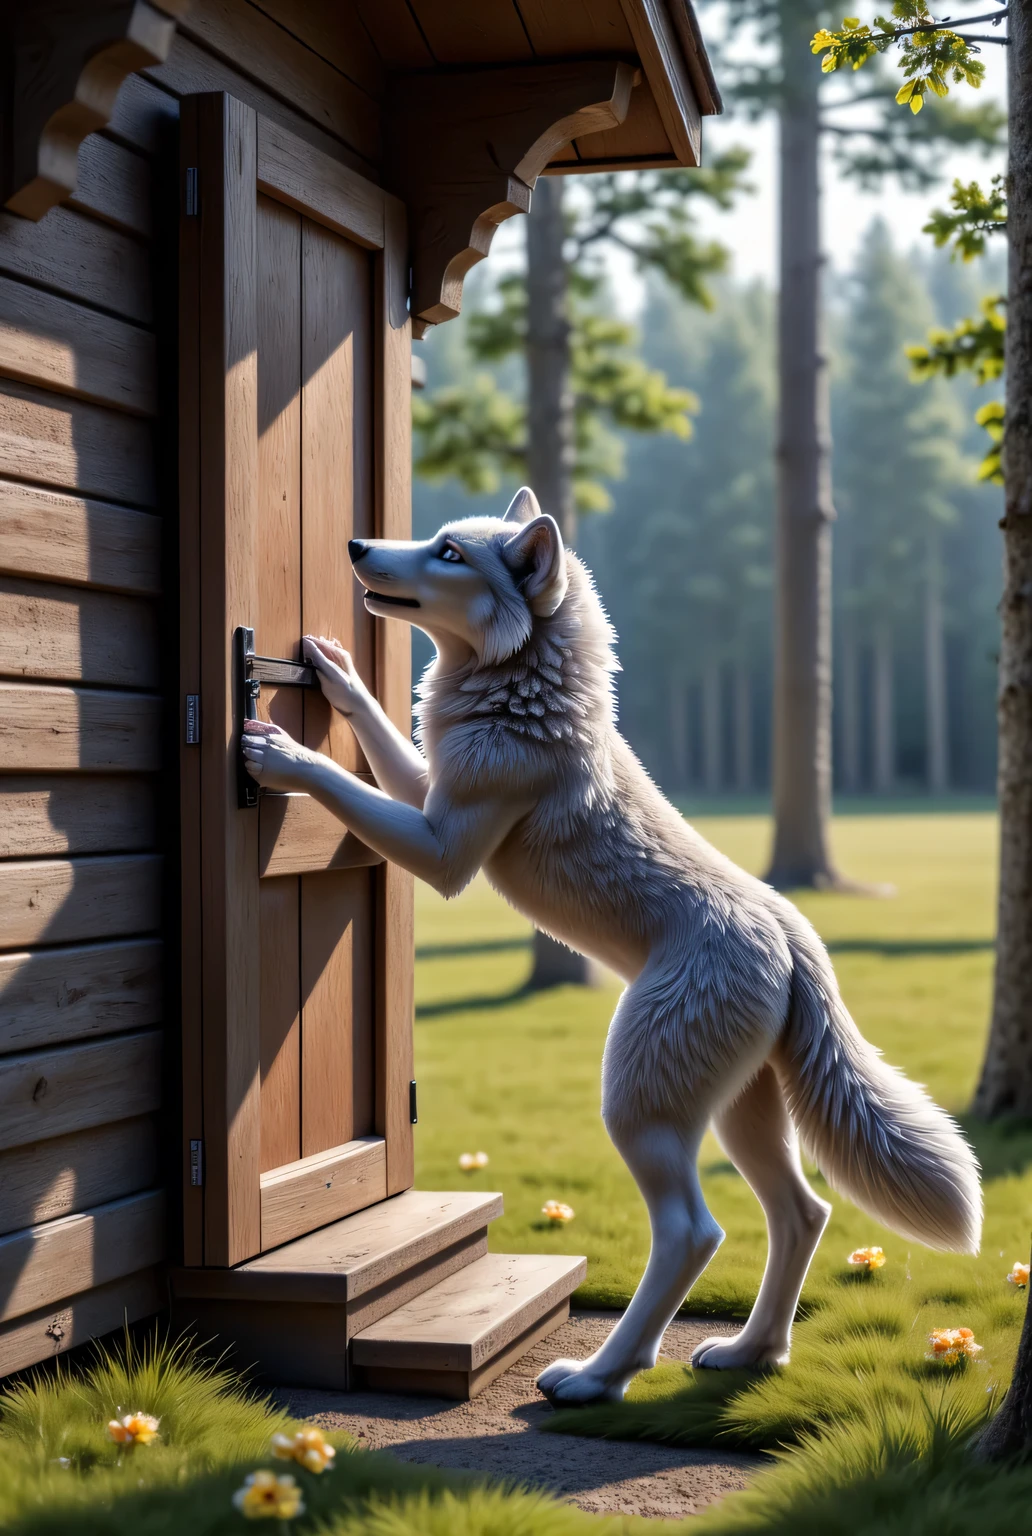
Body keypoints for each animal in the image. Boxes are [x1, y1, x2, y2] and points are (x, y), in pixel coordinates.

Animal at [242, 486, 982, 1408]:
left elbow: (344, 784)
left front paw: (280, 752)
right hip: (738, 1112)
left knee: (695, 1232)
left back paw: (601, 1376)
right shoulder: (428, 790)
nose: (353, 546)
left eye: (449, 553)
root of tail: (790, 935)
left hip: (639, 1101)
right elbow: (381, 740)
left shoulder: (445, 850)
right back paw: (751, 1353)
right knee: (802, 1213)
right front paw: (339, 677)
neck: (519, 686)